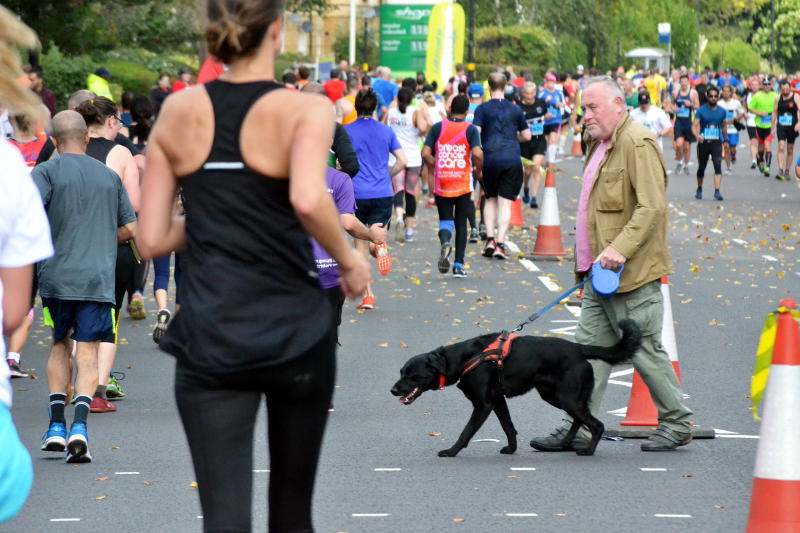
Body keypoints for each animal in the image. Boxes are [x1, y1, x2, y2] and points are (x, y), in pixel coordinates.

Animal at [390, 318, 640, 456]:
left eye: (412, 375)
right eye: (401, 372)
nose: (393, 391)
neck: (463, 358)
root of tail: (579, 349)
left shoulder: (483, 405)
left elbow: (466, 432)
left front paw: (451, 451)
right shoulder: (497, 401)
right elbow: (508, 427)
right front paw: (511, 449)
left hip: (567, 397)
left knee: (597, 424)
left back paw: (588, 451)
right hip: (555, 396)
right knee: (579, 420)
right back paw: (564, 443)